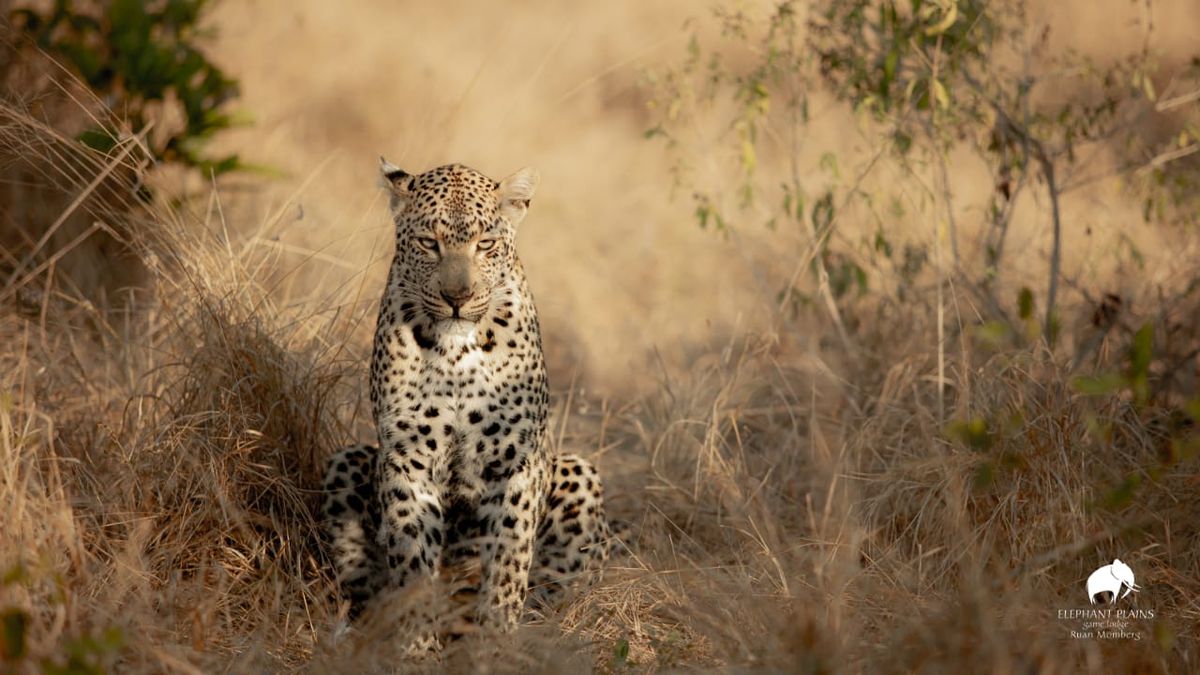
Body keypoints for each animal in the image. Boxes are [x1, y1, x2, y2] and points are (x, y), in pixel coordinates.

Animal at [320, 160, 612, 644]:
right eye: (428, 243)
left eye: (485, 244)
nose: (457, 298)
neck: (456, 352)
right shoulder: (407, 459)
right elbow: (412, 559)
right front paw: (416, 645)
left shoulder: (516, 461)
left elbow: (508, 560)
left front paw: (496, 640)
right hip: (346, 461)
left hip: (578, 474)